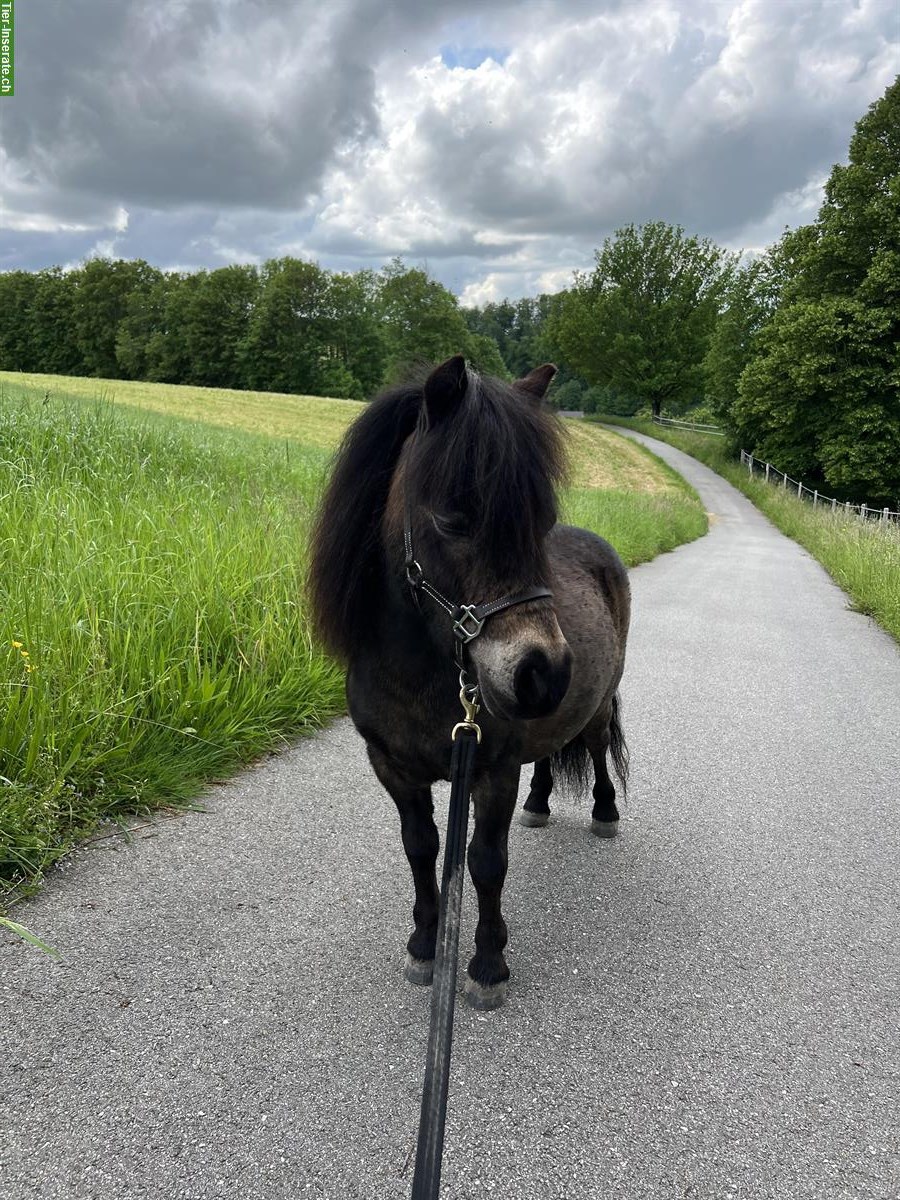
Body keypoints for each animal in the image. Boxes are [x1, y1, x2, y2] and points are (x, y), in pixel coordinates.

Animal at [309, 357, 633, 1012]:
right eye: (452, 520)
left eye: (541, 522)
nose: (544, 673)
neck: (419, 675)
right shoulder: (393, 769)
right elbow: (421, 847)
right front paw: (425, 945)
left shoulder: (490, 771)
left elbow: (484, 862)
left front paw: (487, 963)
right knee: (547, 754)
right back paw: (540, 803)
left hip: (592, 711)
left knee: (592, 749)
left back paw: (605, 812)